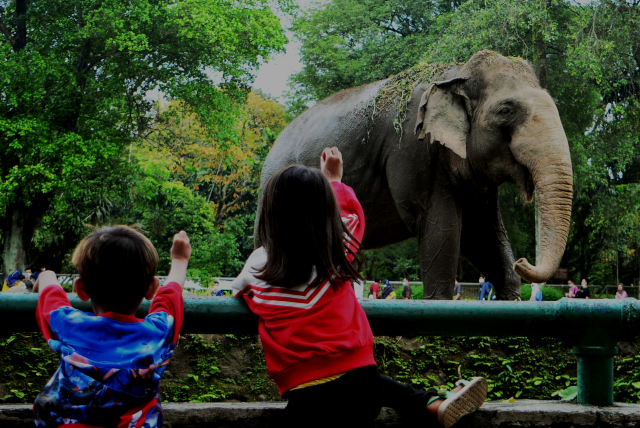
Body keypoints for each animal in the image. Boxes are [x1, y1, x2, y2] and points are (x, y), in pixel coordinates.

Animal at [258, 51, 572, 300]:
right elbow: (441, 229)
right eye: (506, 110)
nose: (523, 260)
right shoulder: (413, 150)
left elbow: (483, 233)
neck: (455, 73)